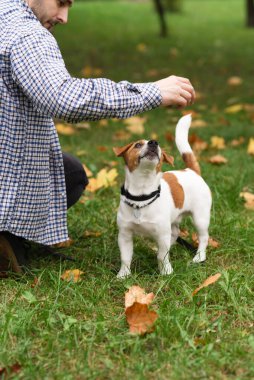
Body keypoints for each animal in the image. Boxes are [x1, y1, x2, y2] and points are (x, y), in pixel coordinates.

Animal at [113, 114, 212, 278]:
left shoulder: (162, 233)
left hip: (200, 218)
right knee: (175, 233)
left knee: (203, 237)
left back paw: (199, 256)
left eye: (157, 144)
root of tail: (191, 171)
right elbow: (125, 257)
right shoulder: (124, 235)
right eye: (137, 145)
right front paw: (123, 275)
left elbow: (162, 256)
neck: (142, 195)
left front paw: (166, 271)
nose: (154, 142)